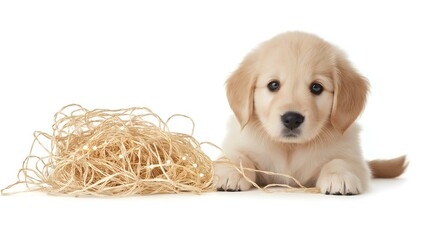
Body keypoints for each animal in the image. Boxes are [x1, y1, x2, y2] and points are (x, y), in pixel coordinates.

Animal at [216, 31, 406, 195]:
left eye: (316, 87)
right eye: (273, 85)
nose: (292, 119)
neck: (290, 147)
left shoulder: (352, 154)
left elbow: (340, 161)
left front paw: (340, 177)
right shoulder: (239, 142)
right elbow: (234, 156)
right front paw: (230, 173)